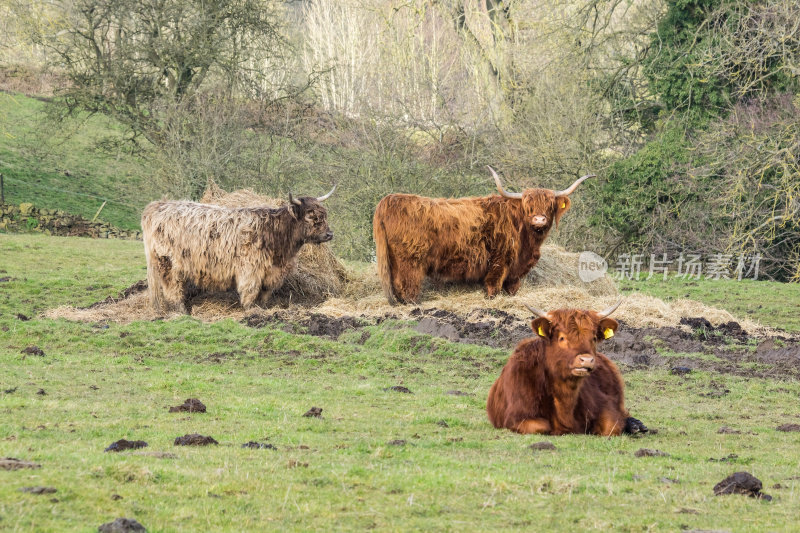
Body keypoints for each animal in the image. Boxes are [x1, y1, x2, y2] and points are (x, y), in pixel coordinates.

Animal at [141, 186, 334, 312]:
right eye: (311, 216)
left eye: (324, 215)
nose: (329, 234)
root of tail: (158, 205)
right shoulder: (251, 268)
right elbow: (250, 290)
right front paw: (250, 310)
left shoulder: (271, 272)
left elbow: (265, 292)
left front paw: (262, 308)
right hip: (168, 263)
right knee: (172, 287)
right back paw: (181, 310)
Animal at [484, 302, 648, 434]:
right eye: (562, 338)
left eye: (594, 338)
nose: (586, 360)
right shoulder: (515, 418)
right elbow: (541, 426)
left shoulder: (606, 404)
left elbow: (611, 426)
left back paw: (636, 425)